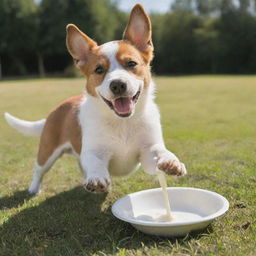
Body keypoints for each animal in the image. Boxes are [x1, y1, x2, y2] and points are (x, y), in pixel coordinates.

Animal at [4, 3, 186, 194]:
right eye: (99, 70)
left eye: (131, 64)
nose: (118, 85)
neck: (122, 123)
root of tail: (57, 109)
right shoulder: (93, 152)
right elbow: (95, 163)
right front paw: (96, 178)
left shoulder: (148, 151)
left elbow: (160, 153)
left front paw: (171, 161)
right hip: (47, 152)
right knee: (38, 170)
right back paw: (34, 189)